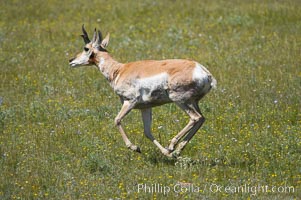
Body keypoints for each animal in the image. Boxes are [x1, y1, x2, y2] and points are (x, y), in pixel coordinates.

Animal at [69, 25, 216, 157]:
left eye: (86, 48)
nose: (71, 60)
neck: (119, 70)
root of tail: (203, 71)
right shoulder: (145, 108)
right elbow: (147, 132)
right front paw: (165, 153)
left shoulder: (130, 101)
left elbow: (117, 120)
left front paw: (135, 147)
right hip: (193, 102)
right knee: (201, 118)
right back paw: (176, 150)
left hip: (179, 100)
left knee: (195, 118)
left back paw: (172, 145)